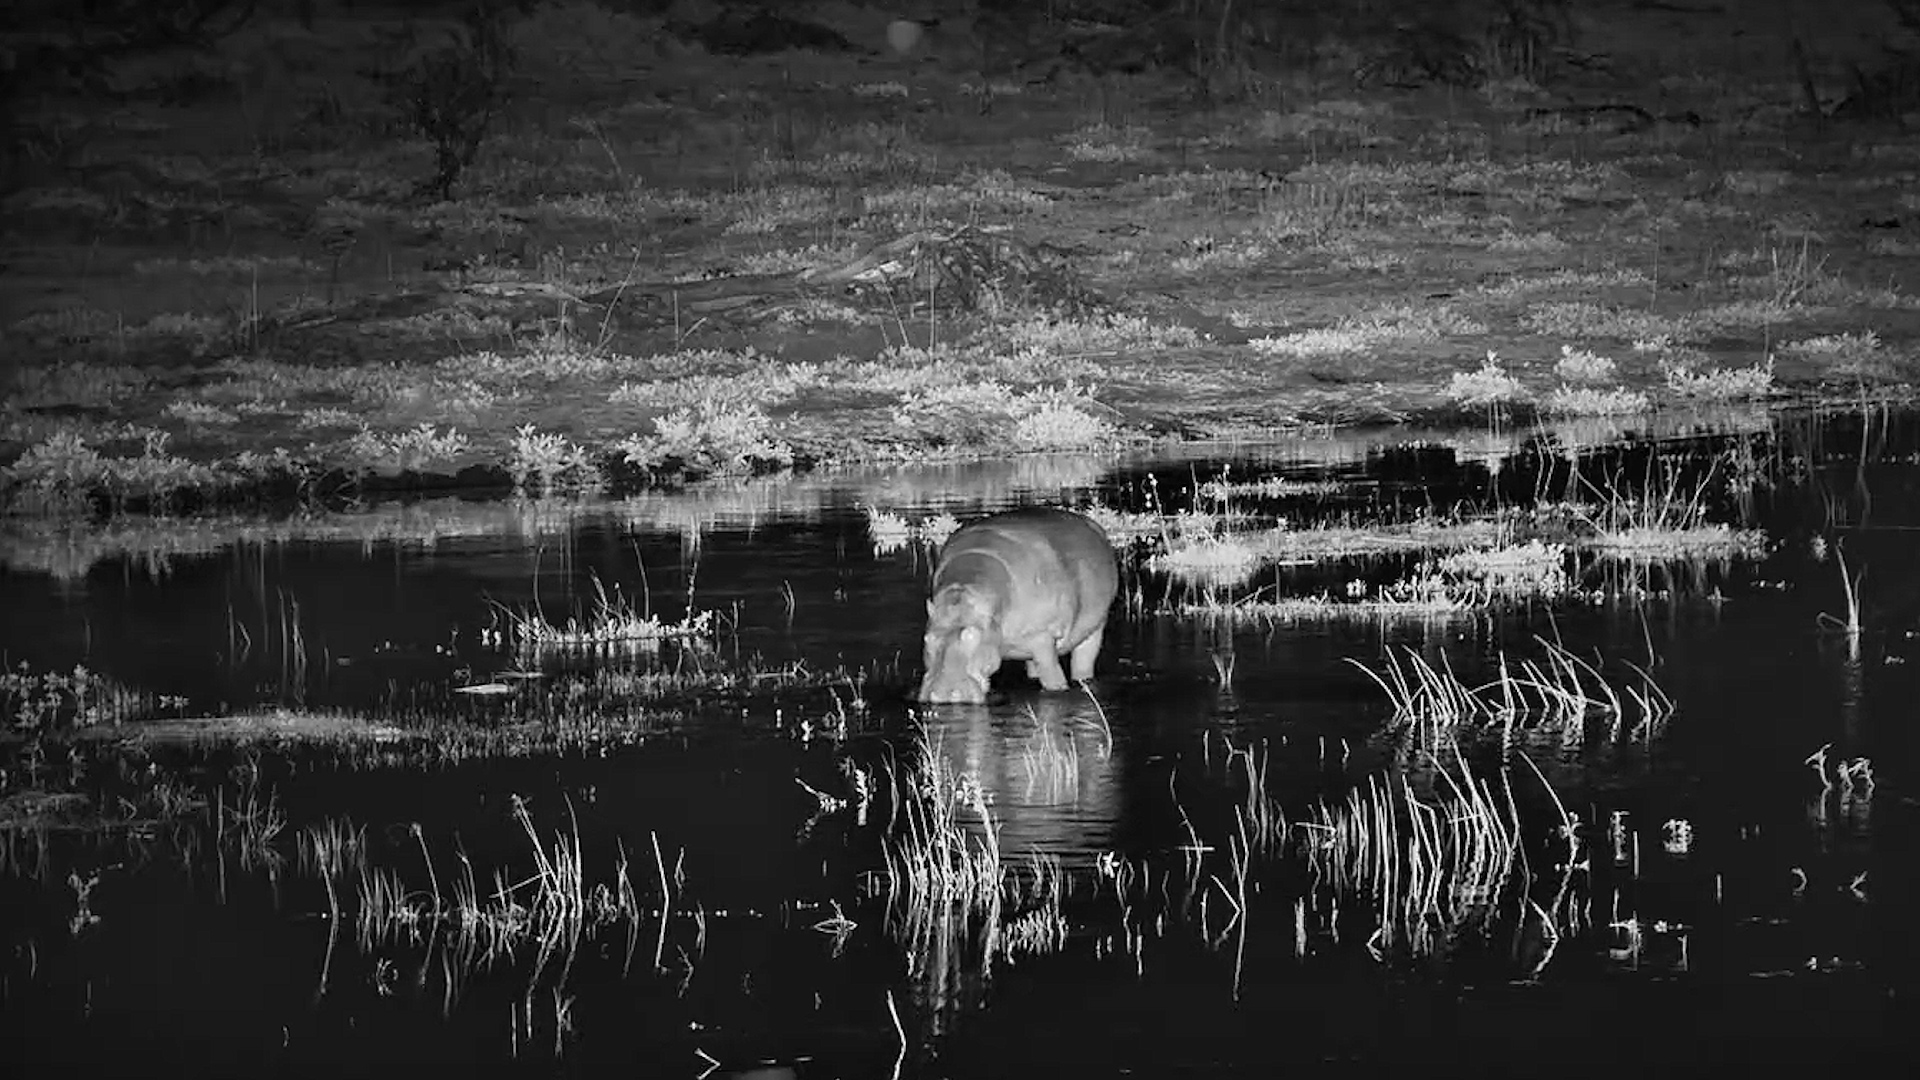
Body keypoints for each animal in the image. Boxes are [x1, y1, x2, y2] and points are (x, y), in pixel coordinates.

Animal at [916, 507, 1120, 705]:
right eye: (927, 639)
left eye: (972, 635)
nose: (942, 694)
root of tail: (1092, 524)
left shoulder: (1042, 637)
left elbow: (1053, 678)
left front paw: (1058, 689)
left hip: (1095, 628)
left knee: (1084, 660)